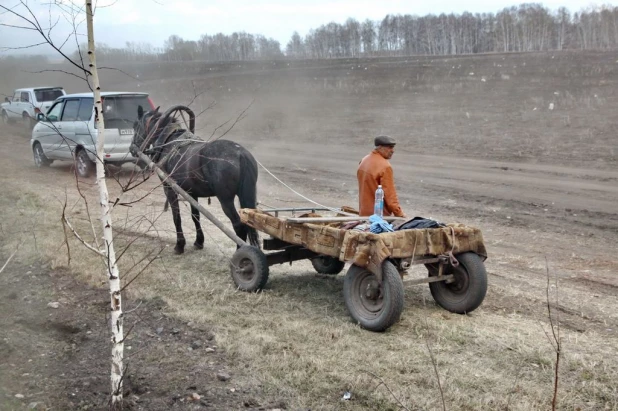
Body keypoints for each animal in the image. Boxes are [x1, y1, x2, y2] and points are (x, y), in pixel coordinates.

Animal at [134, 105, 258, 254]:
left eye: (135, 125)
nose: (132, 147)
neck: (169, 141)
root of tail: (241, 153)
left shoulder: (169, 189)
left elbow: (176, 216)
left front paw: (180, 245)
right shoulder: (191, 192)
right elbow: (195, 216)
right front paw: (199, 241)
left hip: (225, 199)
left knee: (238, 224)